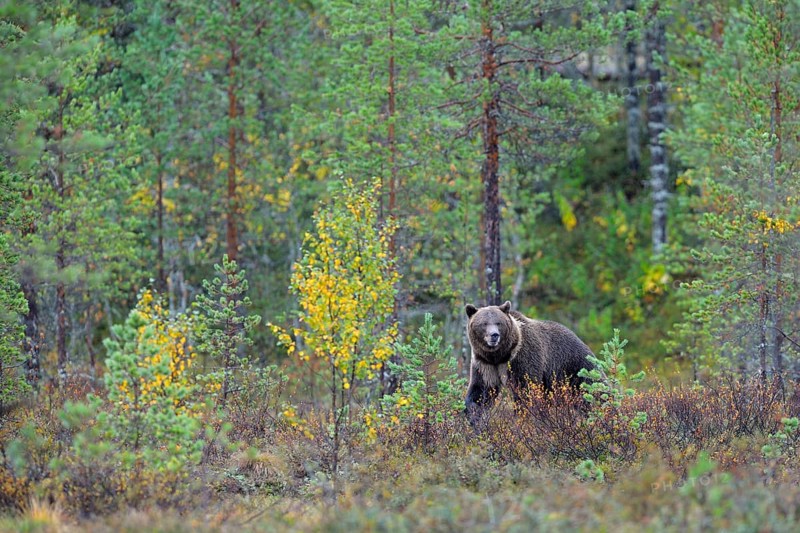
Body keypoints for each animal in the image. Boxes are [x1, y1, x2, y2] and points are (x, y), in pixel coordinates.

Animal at [464, 301, 594, 420]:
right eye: (484, 323)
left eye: (498, 323)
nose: (494, 335)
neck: (500, 356)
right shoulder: (485, 364)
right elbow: (481, 389)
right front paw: (473, 414)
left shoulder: (522, 357)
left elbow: (526, 390)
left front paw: (522, 417)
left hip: (575, 369)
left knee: (586, 396)